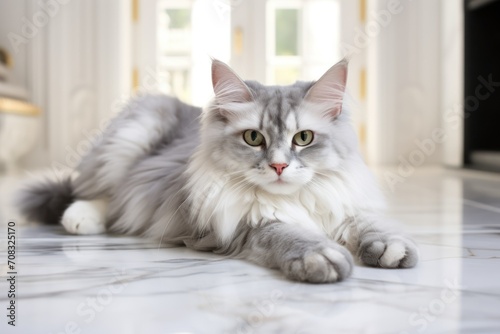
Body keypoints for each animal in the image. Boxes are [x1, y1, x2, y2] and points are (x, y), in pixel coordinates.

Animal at [16, 59, 418, 282]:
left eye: (303, 138)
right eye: (254, 138)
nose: (279, 166)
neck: (292, 201)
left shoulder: (342, 206)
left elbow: (368, 226)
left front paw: (390, 248)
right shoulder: (241, 227)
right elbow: (290, 235)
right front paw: (321, 257)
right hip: (131, 138)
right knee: (104, 196)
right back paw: (80, 220)